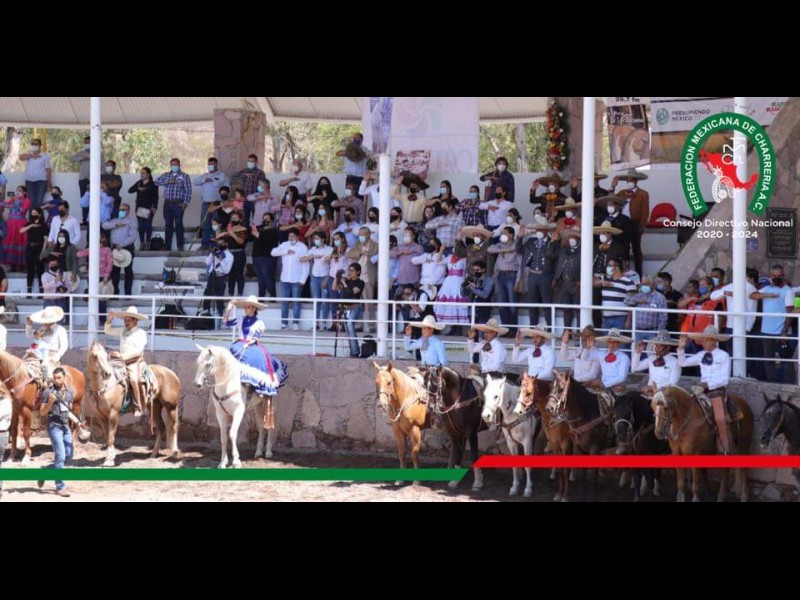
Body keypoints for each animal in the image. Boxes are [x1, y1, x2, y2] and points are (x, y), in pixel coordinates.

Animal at [514, 373, 572, 501]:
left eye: (529, 393)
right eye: (519, 390)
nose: (517, 412)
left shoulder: (565, 443)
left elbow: (565, 469)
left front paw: (565, 495)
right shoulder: (554, 442)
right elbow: (560, 467)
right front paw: (559, 493)